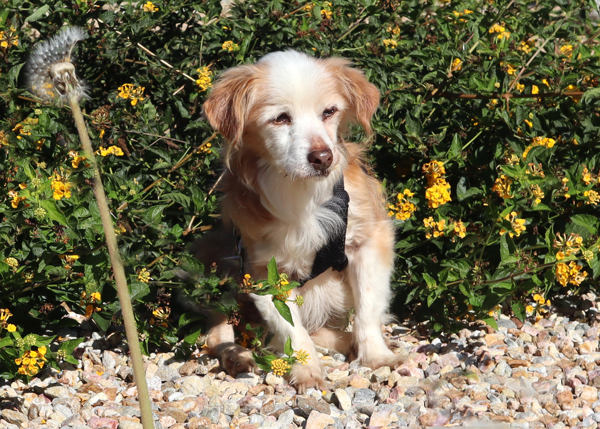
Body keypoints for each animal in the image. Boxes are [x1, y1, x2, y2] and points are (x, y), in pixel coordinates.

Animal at [202, 50, 404, 392]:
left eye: (329, 112)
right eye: (280, 118)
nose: (323, 157)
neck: (302, 195)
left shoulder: (369, 243)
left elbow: (368, 308)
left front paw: (376, 356)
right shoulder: (265, 273)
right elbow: (292, 330)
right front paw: (307, 370)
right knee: (218, 335)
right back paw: (238, 357)